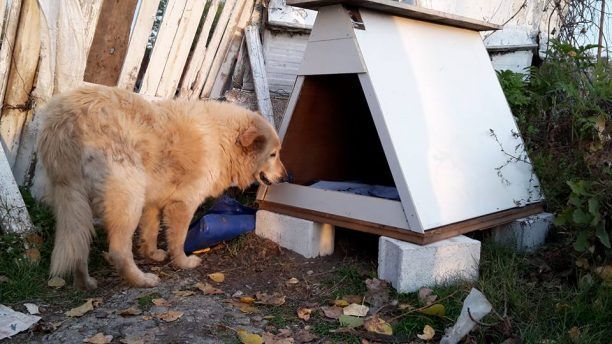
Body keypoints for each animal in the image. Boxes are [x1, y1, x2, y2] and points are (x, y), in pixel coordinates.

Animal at [36, 84, 286, 288]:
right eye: (273, 154)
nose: (285, 176)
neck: (222, 138)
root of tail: (64, 120)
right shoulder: (183, 203)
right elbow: (178, 239)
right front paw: (183, 262)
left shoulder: (153, 202)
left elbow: (151, 231)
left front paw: (153, 253)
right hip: (128, 200)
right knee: (117, 252)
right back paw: (142, 280)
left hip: (75, 205)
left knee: (79, 246)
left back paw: (85, 283)